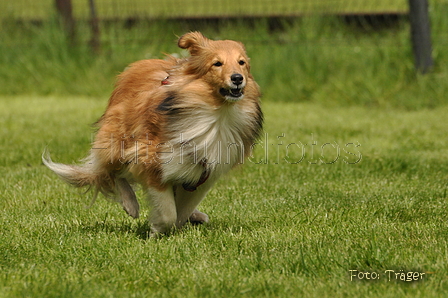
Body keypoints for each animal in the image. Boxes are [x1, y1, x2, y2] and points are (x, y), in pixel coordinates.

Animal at [43, 32, 262, 235]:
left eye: (241, 62)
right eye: (217, 63)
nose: (237, 78)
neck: (217, 114)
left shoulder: (205, 174)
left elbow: (182, 210)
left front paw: (180, 223)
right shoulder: (153, 160)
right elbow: (168, 212)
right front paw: (158, 230)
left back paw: (196, 216)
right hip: (118, 142)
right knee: (112, 171)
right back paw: (130, 204)